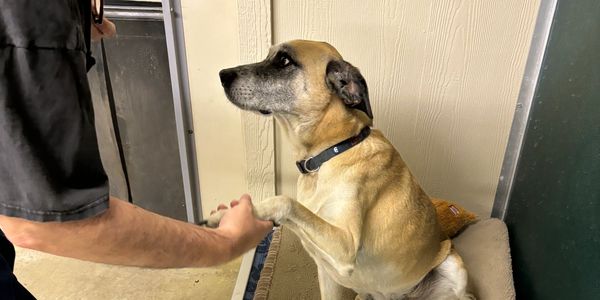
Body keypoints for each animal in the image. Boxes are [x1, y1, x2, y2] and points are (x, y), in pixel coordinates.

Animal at [211, 39, 474, 300]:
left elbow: (285, 201)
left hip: (453, 266)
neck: (328, 153)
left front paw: (231, 215)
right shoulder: (327, 271)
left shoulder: (345, 245)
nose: (222, 75)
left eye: (284, 60)